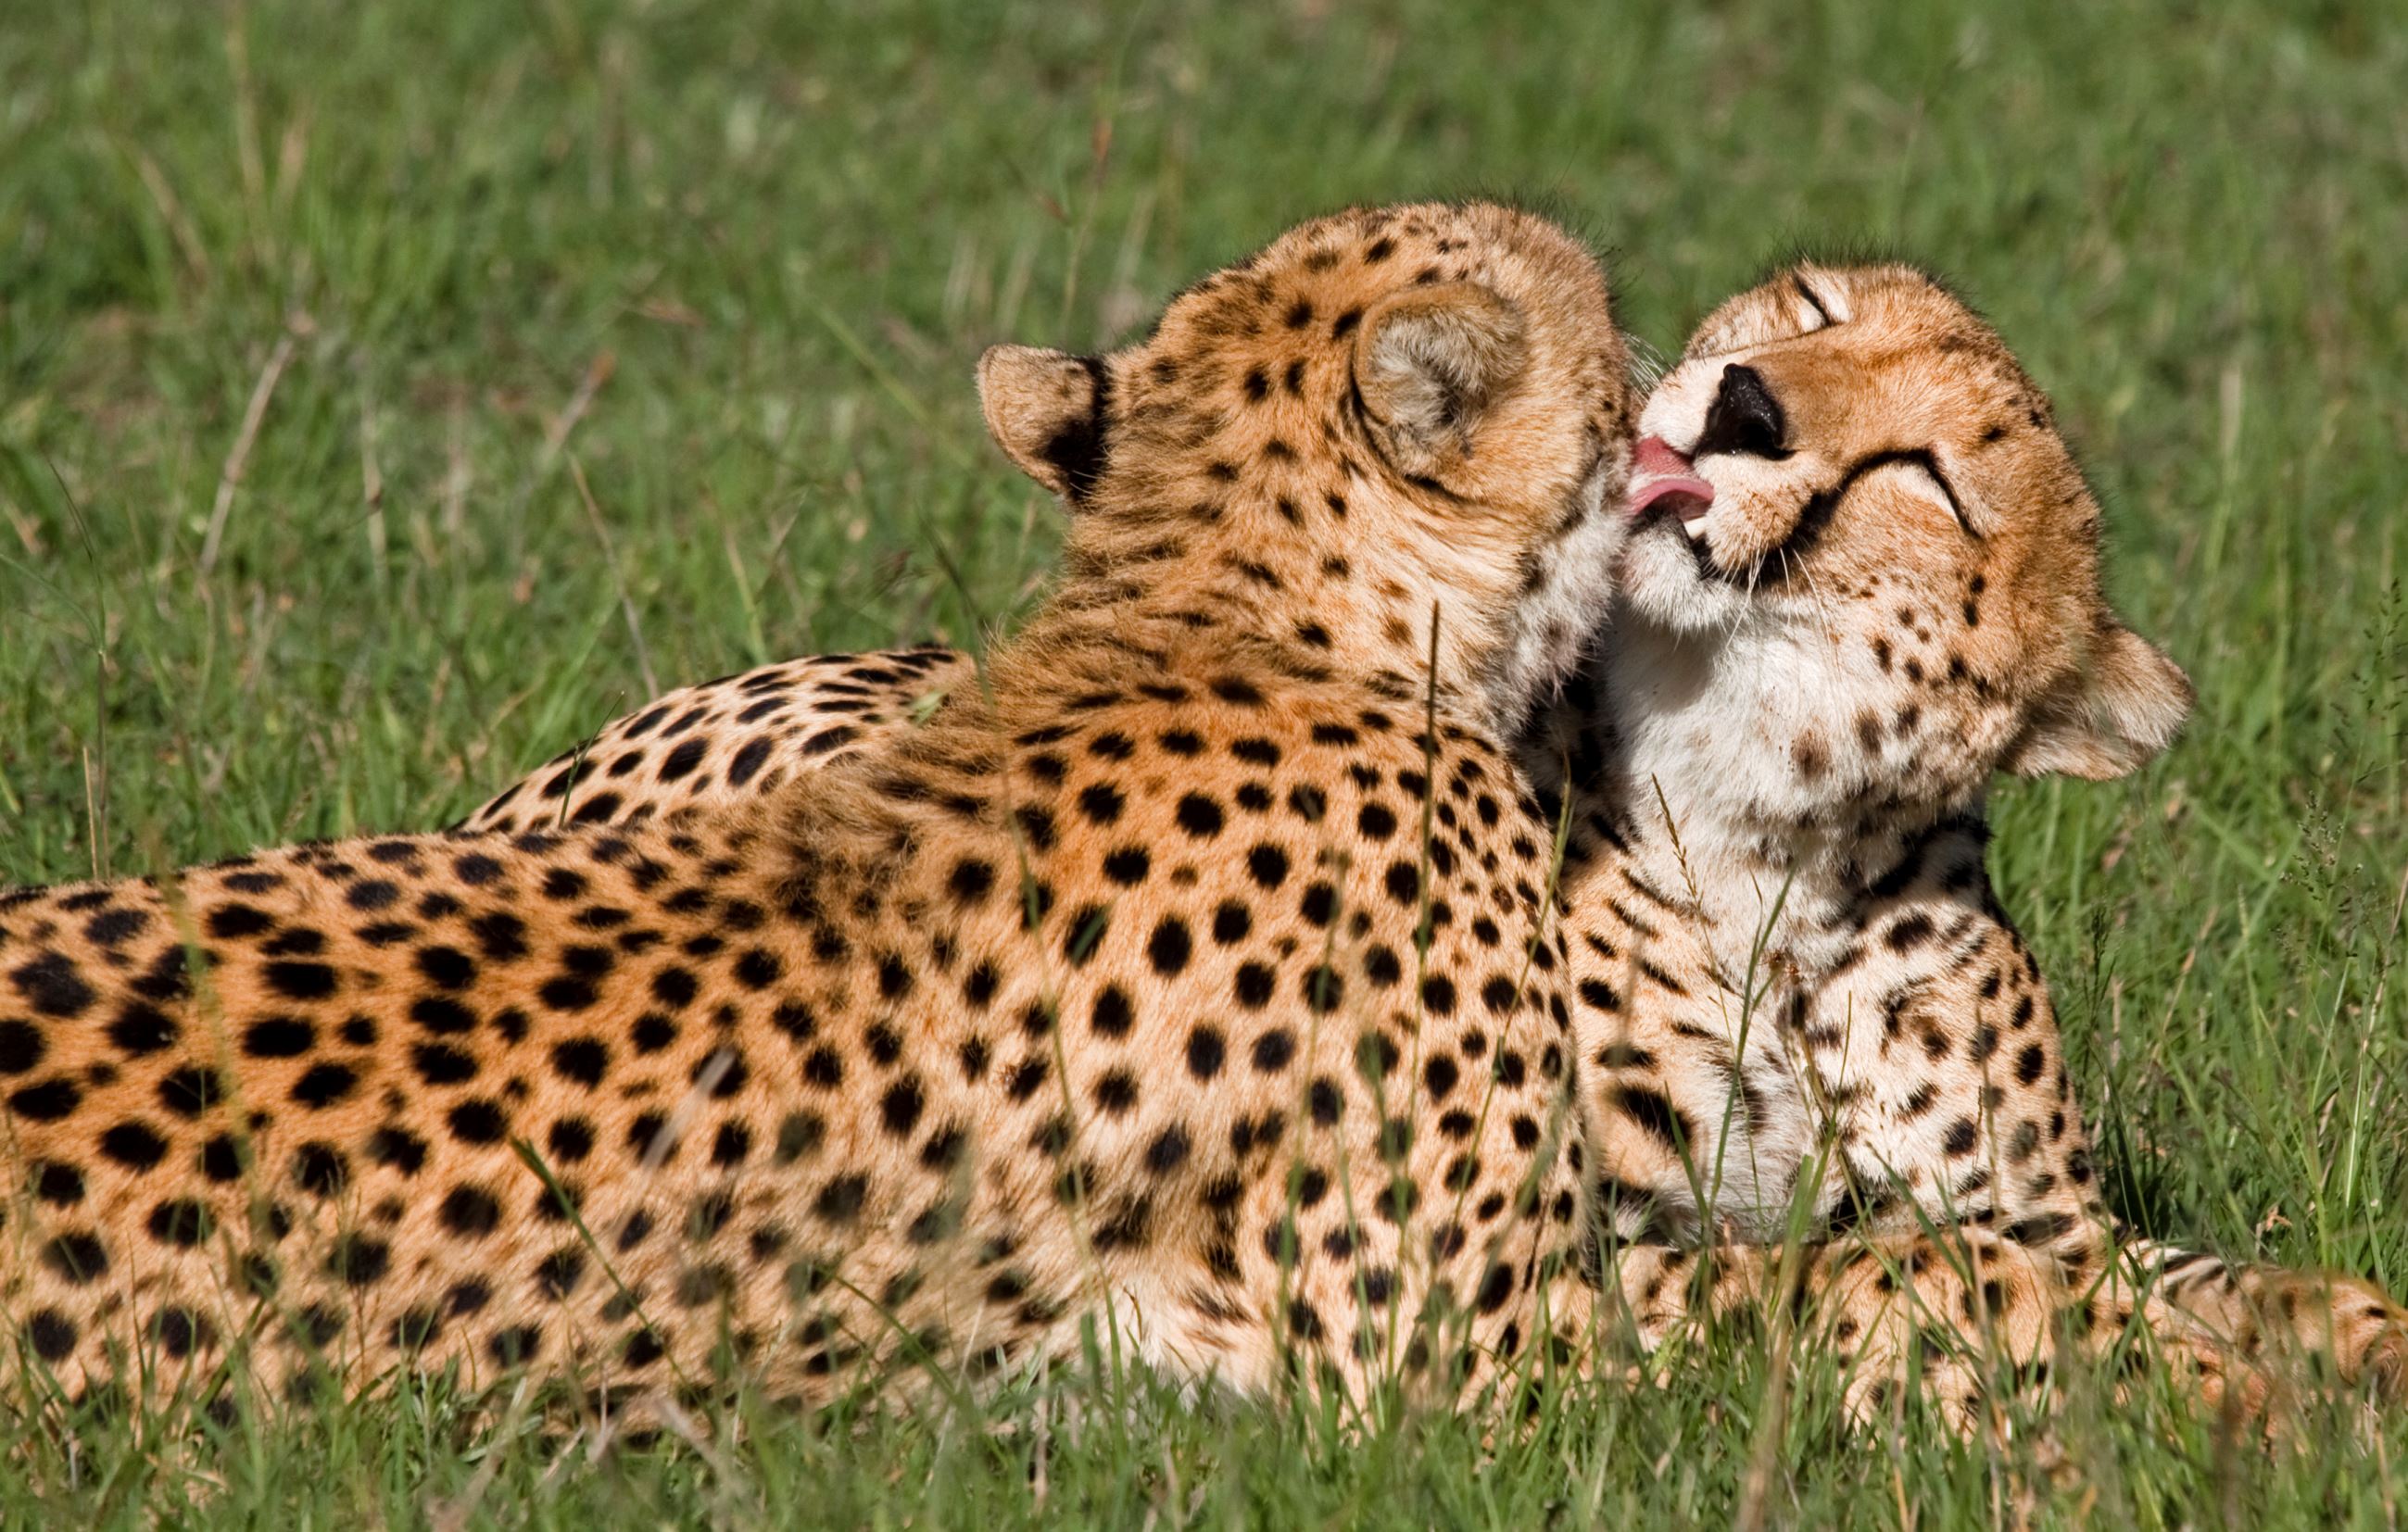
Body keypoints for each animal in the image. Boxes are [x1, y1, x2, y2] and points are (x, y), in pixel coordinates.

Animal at [460, 262, 2407, 1426]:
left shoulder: (2029, 1200)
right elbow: (1887, 1269)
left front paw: (2320, 1351)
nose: (1741, 401)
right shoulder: (1494, 1280)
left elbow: (2167, 1265)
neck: (1757, 854)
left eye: (1928, 474)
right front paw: (2190, 1386)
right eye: (1804, 304)